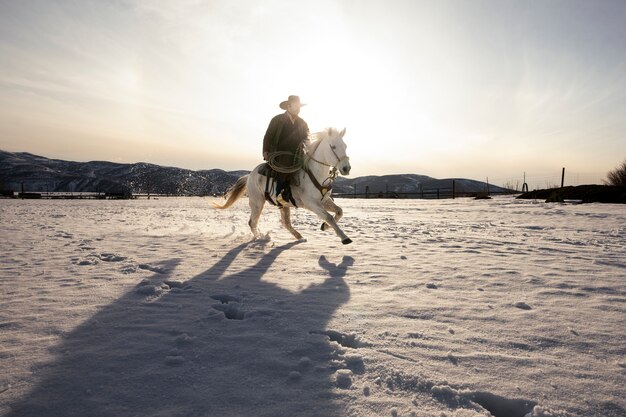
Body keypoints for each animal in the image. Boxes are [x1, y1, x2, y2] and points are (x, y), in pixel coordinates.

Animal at [212, 127, 352, 244]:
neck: (314, 173)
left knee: (286, 223)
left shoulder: (324, 200)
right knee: (252, 222)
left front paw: (324, 226)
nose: (346, 168)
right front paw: (344, 238)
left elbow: (339, 211)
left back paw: (299, 237)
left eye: (345, 146)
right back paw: (260, 238)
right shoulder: (311, 203)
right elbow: (329, 217)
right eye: (333, 146)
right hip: (257, 202)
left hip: (283, 205)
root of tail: (249, 177)